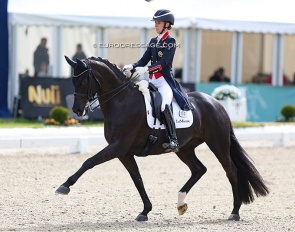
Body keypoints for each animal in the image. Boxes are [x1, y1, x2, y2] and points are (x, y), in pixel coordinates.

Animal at [56, 55, 270, 221]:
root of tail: (216, 103)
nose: (78, 110)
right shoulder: (124, 153)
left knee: (231, 171)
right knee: (199, 169)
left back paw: (234, 212)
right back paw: (181, 202)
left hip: (218, 144)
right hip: (184, 149)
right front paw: (145, 211)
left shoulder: (118, 147)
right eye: (73, 81)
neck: (121, 101)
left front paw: (64, 186)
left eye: (83, 81)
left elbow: (89, 162)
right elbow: (137, 179)